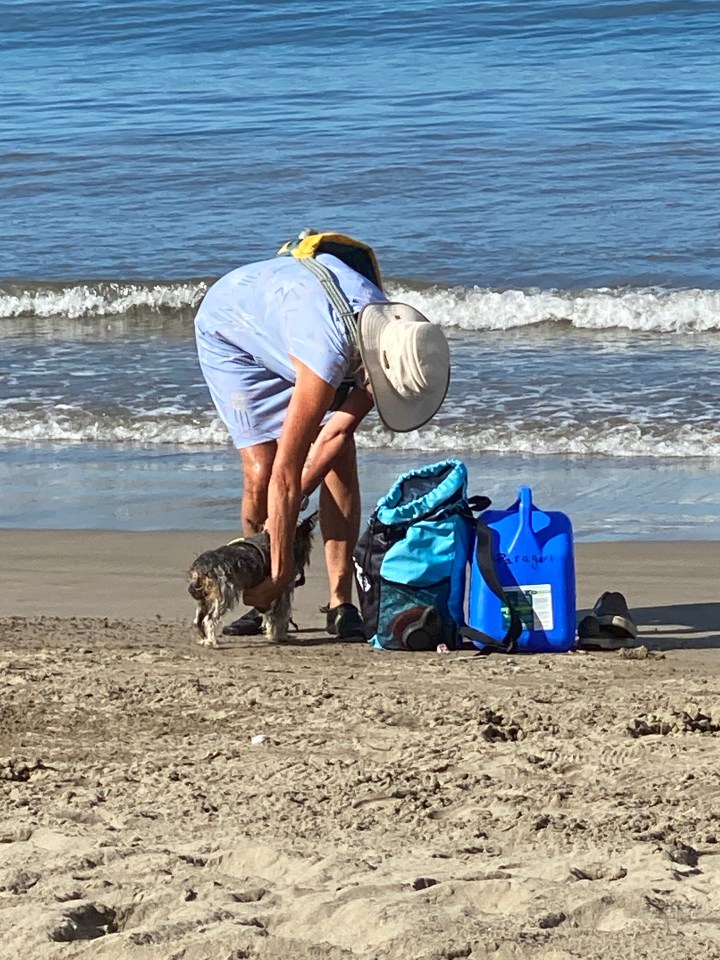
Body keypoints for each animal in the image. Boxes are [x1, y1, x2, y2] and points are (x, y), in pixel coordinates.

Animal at [188, 511, 318, 647]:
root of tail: (201, 567)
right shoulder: (282, 590)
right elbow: (280, 616)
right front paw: (281, 636)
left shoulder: (268, 594)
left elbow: (270, 617)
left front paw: (273, 635)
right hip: (224, 596)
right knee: (209, 619)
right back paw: (212, 641)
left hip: (204, 598)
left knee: (198, 620)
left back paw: (204, 639)